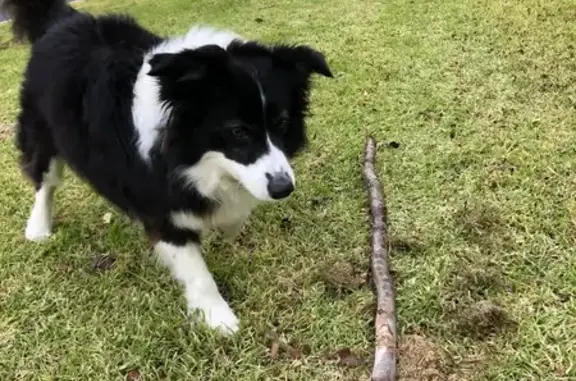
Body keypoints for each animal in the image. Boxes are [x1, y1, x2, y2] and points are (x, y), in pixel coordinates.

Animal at [3, 0, 332, 332]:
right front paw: (218, 317)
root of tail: (62, 19)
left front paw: (225, 224)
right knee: (45, 182)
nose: (283, 189)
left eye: (282, 123)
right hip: (42, 132)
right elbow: (194, 267)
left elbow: (232, 212)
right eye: (238, 131)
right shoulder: (159, 202)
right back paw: (38, 227)